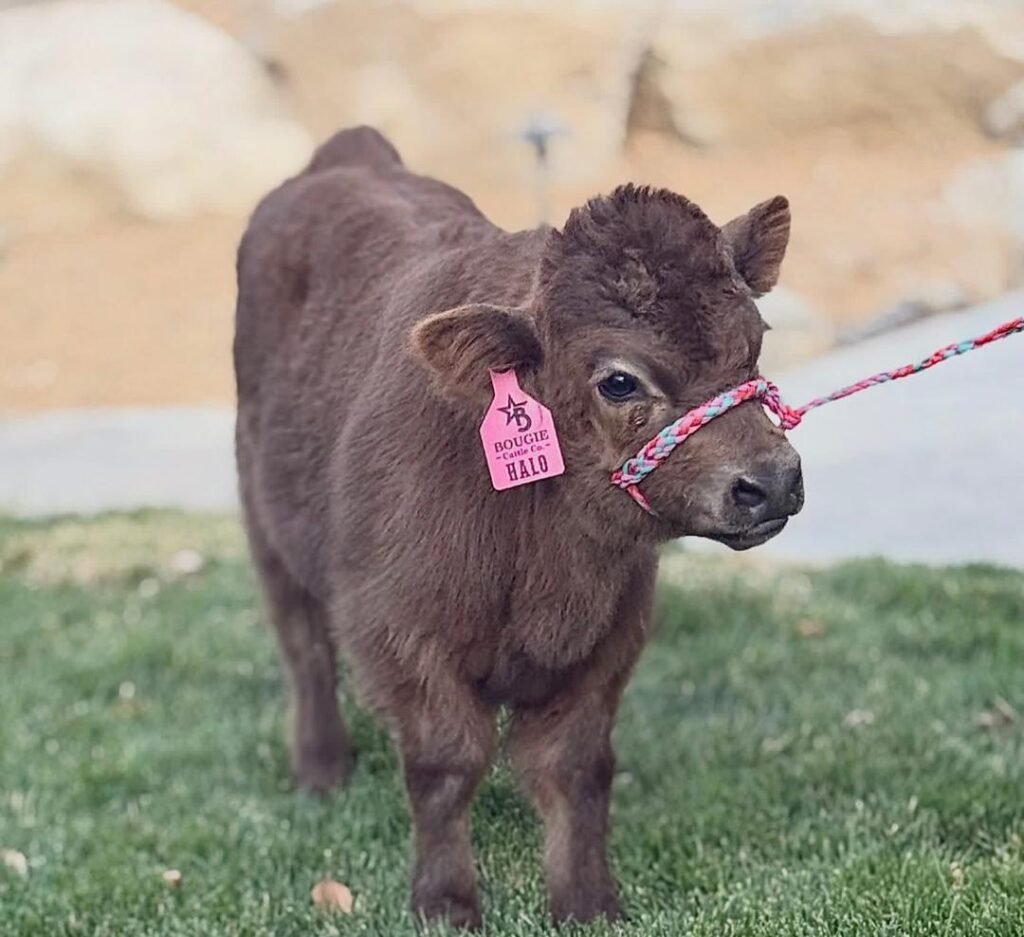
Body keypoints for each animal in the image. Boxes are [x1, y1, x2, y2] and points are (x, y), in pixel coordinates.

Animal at [234, 125, 803, 929]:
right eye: (619, 380)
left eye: (754, 340)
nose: (772, 480)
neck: (546, 565)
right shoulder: (400, 632)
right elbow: (445, 763)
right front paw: (445, 903)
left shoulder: (610, 636)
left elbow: (577, 766)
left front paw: (587, 901)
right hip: (266, 527)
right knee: (304, 650)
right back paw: (322, 771)